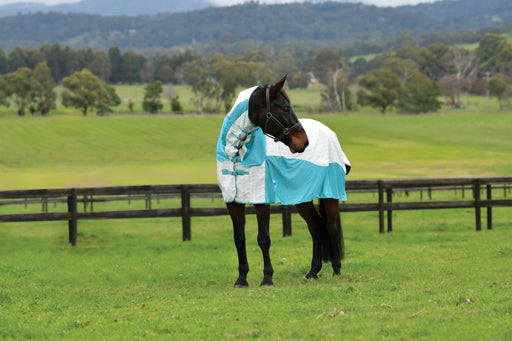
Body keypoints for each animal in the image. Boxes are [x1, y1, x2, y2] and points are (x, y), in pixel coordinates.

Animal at [216, 75, 352, 286]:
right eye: (285, 108)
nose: (304, 142)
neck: (236, 153)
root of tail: (329, 133)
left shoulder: (261, 201)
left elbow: (263, 239)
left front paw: (267, 278)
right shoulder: (233, 202)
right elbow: (239, 239)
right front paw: (241, 279)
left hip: (330, 195)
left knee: (330, 226)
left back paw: (336, 269)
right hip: (302, 199)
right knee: (316, 227)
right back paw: (313, 272)